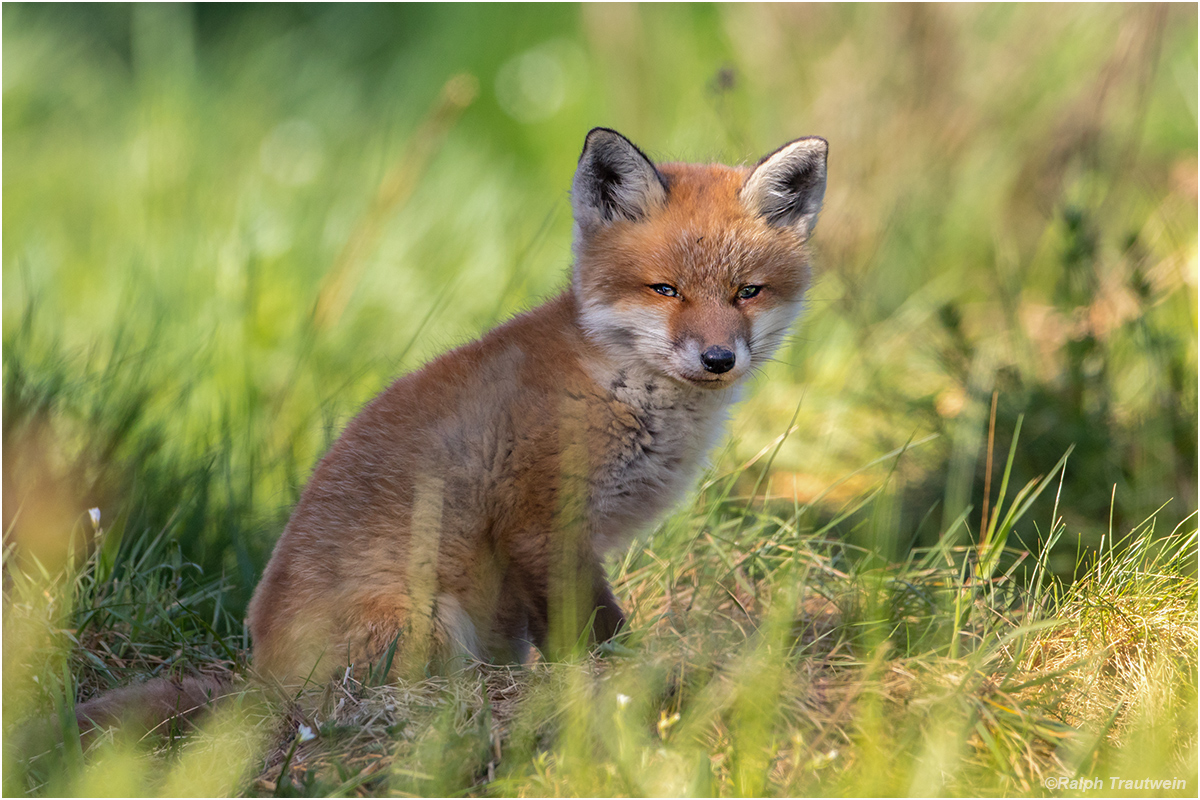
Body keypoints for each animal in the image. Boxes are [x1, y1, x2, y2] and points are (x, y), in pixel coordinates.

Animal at [72, 130, 825, 734]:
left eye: (747, 292)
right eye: (665, 290)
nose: (719, 359)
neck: (616, 385)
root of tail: (262, 678)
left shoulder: (545, 555)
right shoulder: (540, 523)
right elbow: (594, 631)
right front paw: (618, 681)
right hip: (426, 622)